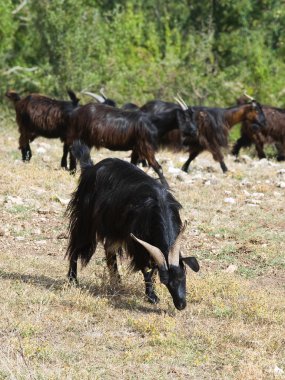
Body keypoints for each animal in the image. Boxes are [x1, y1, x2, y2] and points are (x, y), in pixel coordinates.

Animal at [66, 141, 200, 310]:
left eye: (183, 275)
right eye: (165, 282)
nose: (181, 304)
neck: (159, 206)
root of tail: (91, 168)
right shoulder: (137, 242)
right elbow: (145, 268)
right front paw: (152, 296)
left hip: (113, 226)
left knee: (109, 249)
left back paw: (116, 281)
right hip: (85, 219)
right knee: (76, 246)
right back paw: (73, 279)